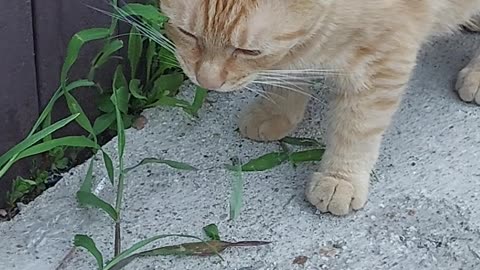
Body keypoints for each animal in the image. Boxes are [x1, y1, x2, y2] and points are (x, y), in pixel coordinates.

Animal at [160, 0, 480, 215]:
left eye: (248, 51)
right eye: (187, 34)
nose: (206, 81)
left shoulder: (383, 62)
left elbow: (356, 128)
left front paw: (340, 178)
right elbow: (289, 70)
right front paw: (276, 112)